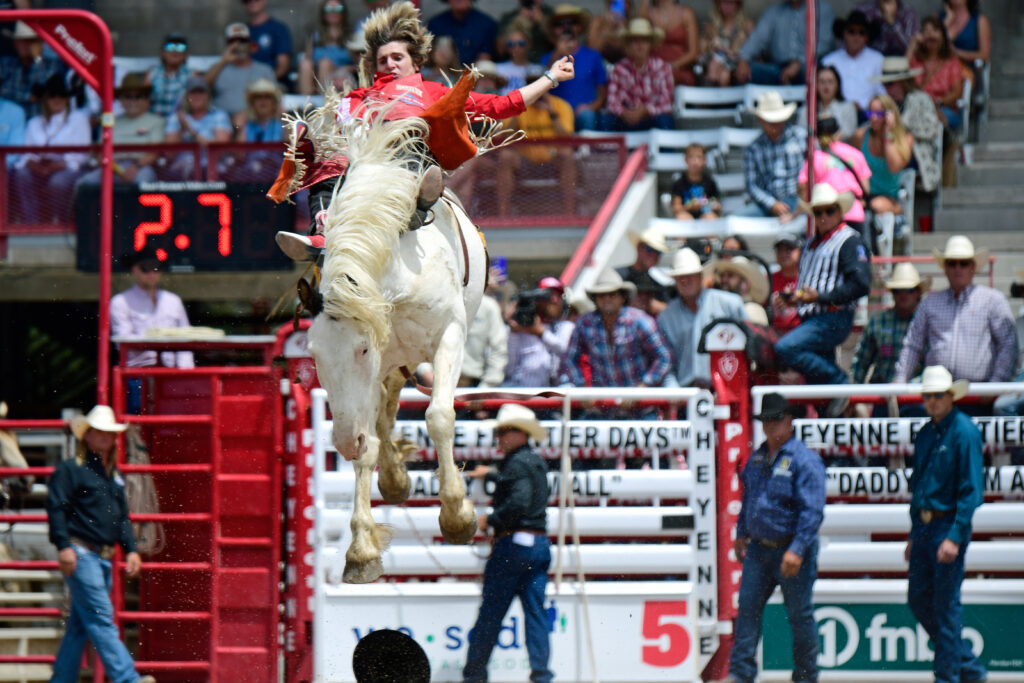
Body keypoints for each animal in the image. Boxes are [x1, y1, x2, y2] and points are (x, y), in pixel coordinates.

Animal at [298, 115, 486, 584]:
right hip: (395, 365)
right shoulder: (373, 379)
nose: (342, 441)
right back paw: (395, 480)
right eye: (314, 354)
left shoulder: (449, 337)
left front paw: (457, 516)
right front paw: (361, 550)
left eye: (362, 350)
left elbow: (439, 417)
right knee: (382, 421)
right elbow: (367, 444)